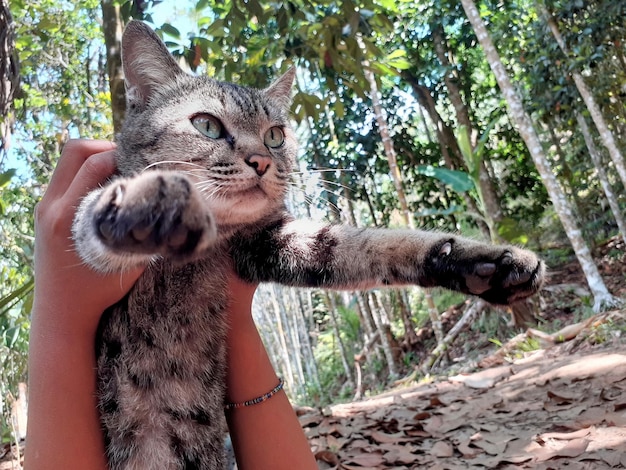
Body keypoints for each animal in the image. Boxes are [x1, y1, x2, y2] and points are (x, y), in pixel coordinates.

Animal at [72, 19, 540, 470]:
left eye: (275, 136)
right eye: (206, 125)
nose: (262, 160)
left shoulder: (272, 241)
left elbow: (376, 245)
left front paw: (485, 263)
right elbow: (92, 220)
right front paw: (150, 202)